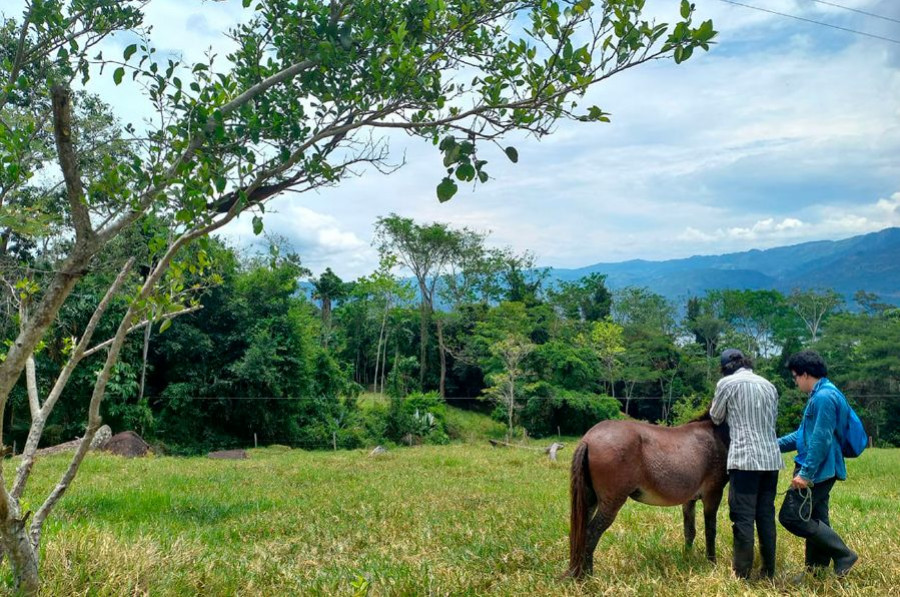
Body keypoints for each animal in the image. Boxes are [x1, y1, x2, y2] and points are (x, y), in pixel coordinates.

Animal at [568, 410, 728, 576]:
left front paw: (687, 559)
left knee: (580, 533)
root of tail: (588, 439)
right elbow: (710, 531)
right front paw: (712, 564)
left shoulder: (690, 499)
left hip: (589, 500)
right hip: (610, 503)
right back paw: (588, 577)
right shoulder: (713, 494)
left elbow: (689, 531)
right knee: (591, 533)